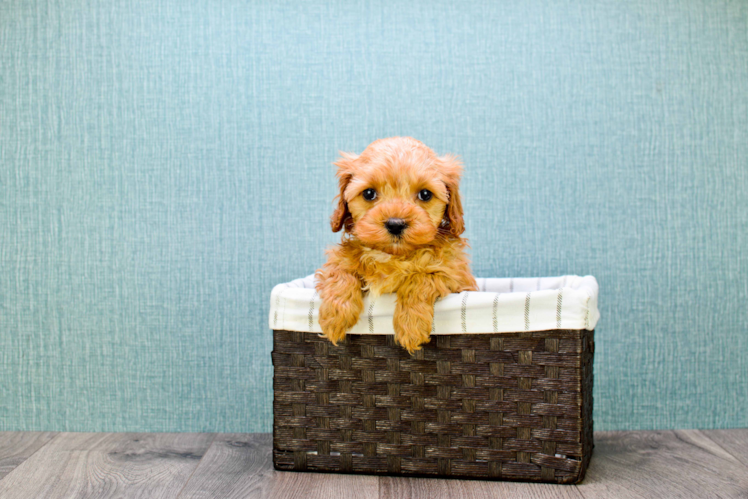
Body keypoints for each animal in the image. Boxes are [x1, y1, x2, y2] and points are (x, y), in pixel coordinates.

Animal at [312, 136, 476, 352]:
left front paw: (411, 324)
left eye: (425, 194)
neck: (392, 256)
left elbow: (423, 277)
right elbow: (339, 269)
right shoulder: (340, 260)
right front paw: (335, 314)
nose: (395, 224)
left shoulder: (457, 278)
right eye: (369, 193)